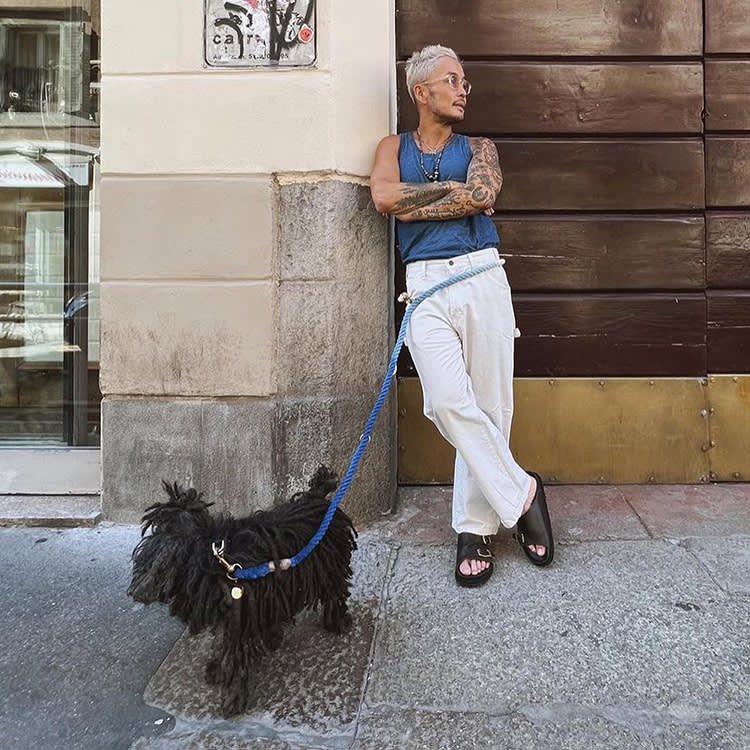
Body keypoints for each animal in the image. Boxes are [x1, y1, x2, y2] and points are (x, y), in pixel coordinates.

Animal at [127, 468, 358, 720]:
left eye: (143, 564)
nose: (133, 592)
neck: (211, 561)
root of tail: (316, 497)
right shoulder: (231, 615)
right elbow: (222, 643)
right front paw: (218, 669)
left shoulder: (239, 616)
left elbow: (234, 656)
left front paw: (233, 699)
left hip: (329, 568)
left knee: (335, 594)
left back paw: (337, 622)